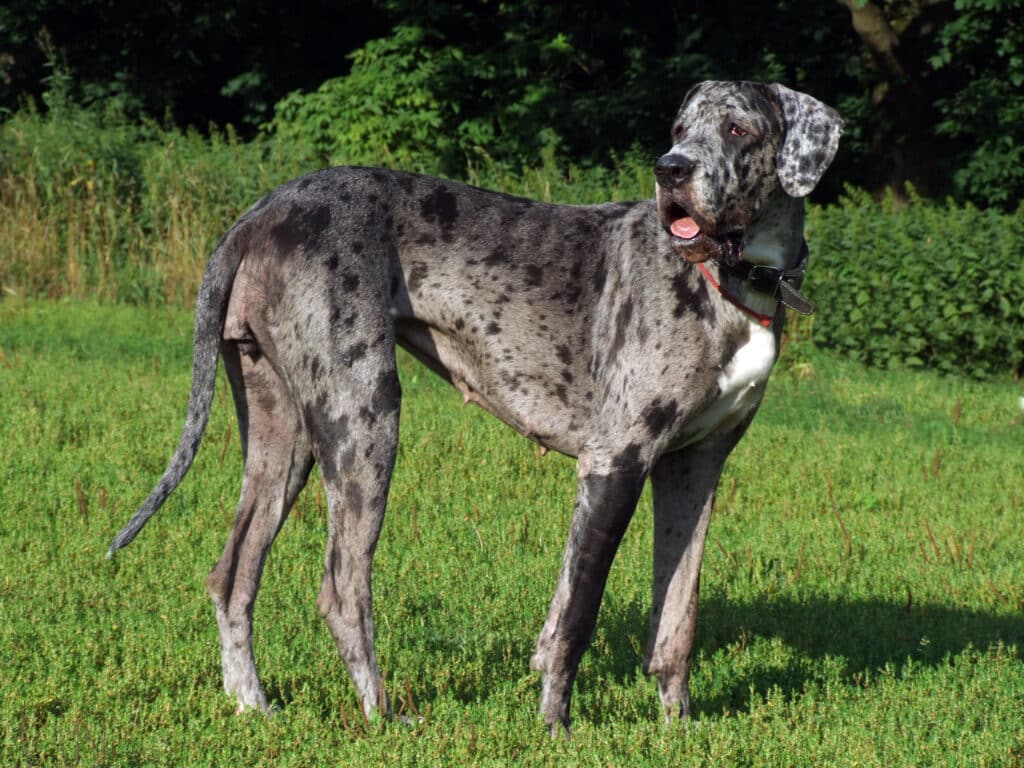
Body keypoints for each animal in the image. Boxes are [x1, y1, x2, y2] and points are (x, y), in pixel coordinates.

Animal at [112, 81, 843, 737]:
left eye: (737, 129)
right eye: (679, 127)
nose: (671, 169)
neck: (733, 276)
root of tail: (259, 213)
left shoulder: (694, 469)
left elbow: (676, 618)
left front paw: (679, 727)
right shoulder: (616, 462)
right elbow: (577, 615)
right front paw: (556, 728)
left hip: (282, 431)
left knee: (232, 575)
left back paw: (252, 706)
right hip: (365, 418)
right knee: (343, 588)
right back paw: (383, 715)